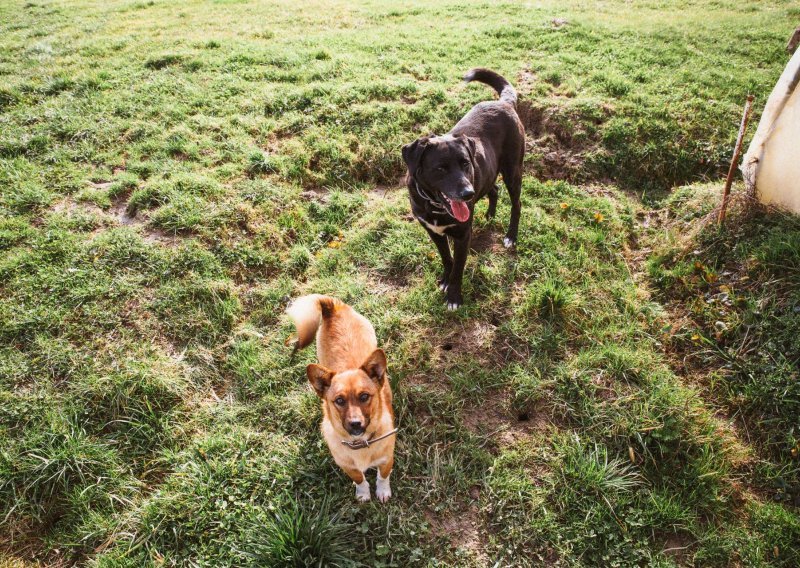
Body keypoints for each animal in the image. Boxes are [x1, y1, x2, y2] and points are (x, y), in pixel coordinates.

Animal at [286, 296, 396, 504]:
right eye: (339, 401)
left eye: (364, 396)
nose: (355, 424)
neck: (360, 444)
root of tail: (330, 306)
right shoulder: (348, 467)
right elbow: (360, 479)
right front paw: (363, 493)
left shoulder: (387, 460)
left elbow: (383, 477)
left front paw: (383, 491)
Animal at [400, 70, 524, 310]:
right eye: (440, 168)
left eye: (465, 163)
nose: (467, 194)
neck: (434, 206)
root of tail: (503, 103)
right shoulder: (433, 232)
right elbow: (446, 259)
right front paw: (445, 281)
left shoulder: (463, 235)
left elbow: (458, 266)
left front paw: (454, 296)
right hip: (488, 174)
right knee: (494, 189)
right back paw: (490, 214)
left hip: (513, 170)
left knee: (516, 204)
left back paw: (510, 236)